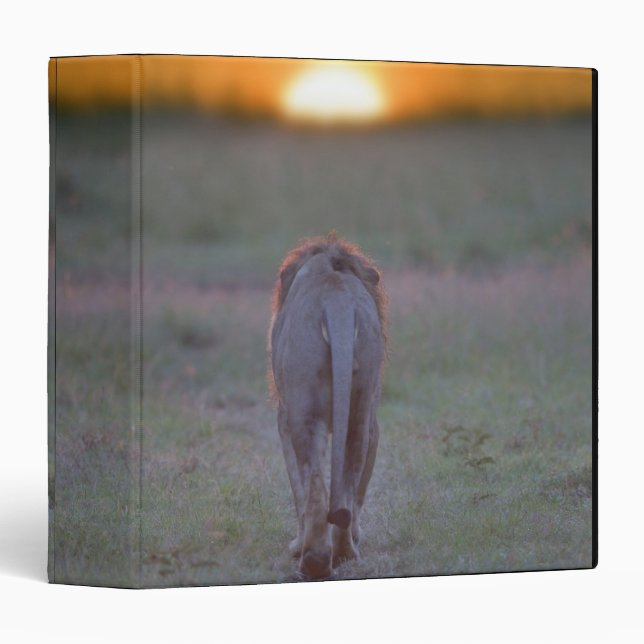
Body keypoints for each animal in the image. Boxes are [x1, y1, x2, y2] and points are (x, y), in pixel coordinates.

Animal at [269, 231, 387, 579]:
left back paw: (314, 559)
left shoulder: (283, 417)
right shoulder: (374, 421)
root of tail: (337, 300)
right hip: (360, 410)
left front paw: (297, 544)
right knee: (348, 479)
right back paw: (345, 553)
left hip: (303, 410)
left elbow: (297, 485)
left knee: (315, 484)